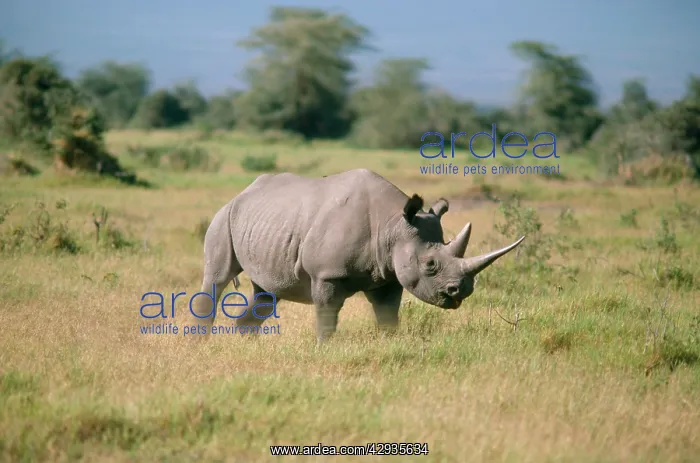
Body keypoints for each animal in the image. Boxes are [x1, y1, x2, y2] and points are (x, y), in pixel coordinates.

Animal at [193, 168, 524, 343]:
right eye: (430, 265)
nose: (461, 292)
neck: (392, 225)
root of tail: (241, 194)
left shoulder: (389, 274)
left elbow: (388, 315)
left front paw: (390, 344)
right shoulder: (326, 274)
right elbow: (327, 316)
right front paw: (323, 349)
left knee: (267, 292)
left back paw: (245, 342)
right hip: (224, 217)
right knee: (217, 279)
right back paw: (201, 342)